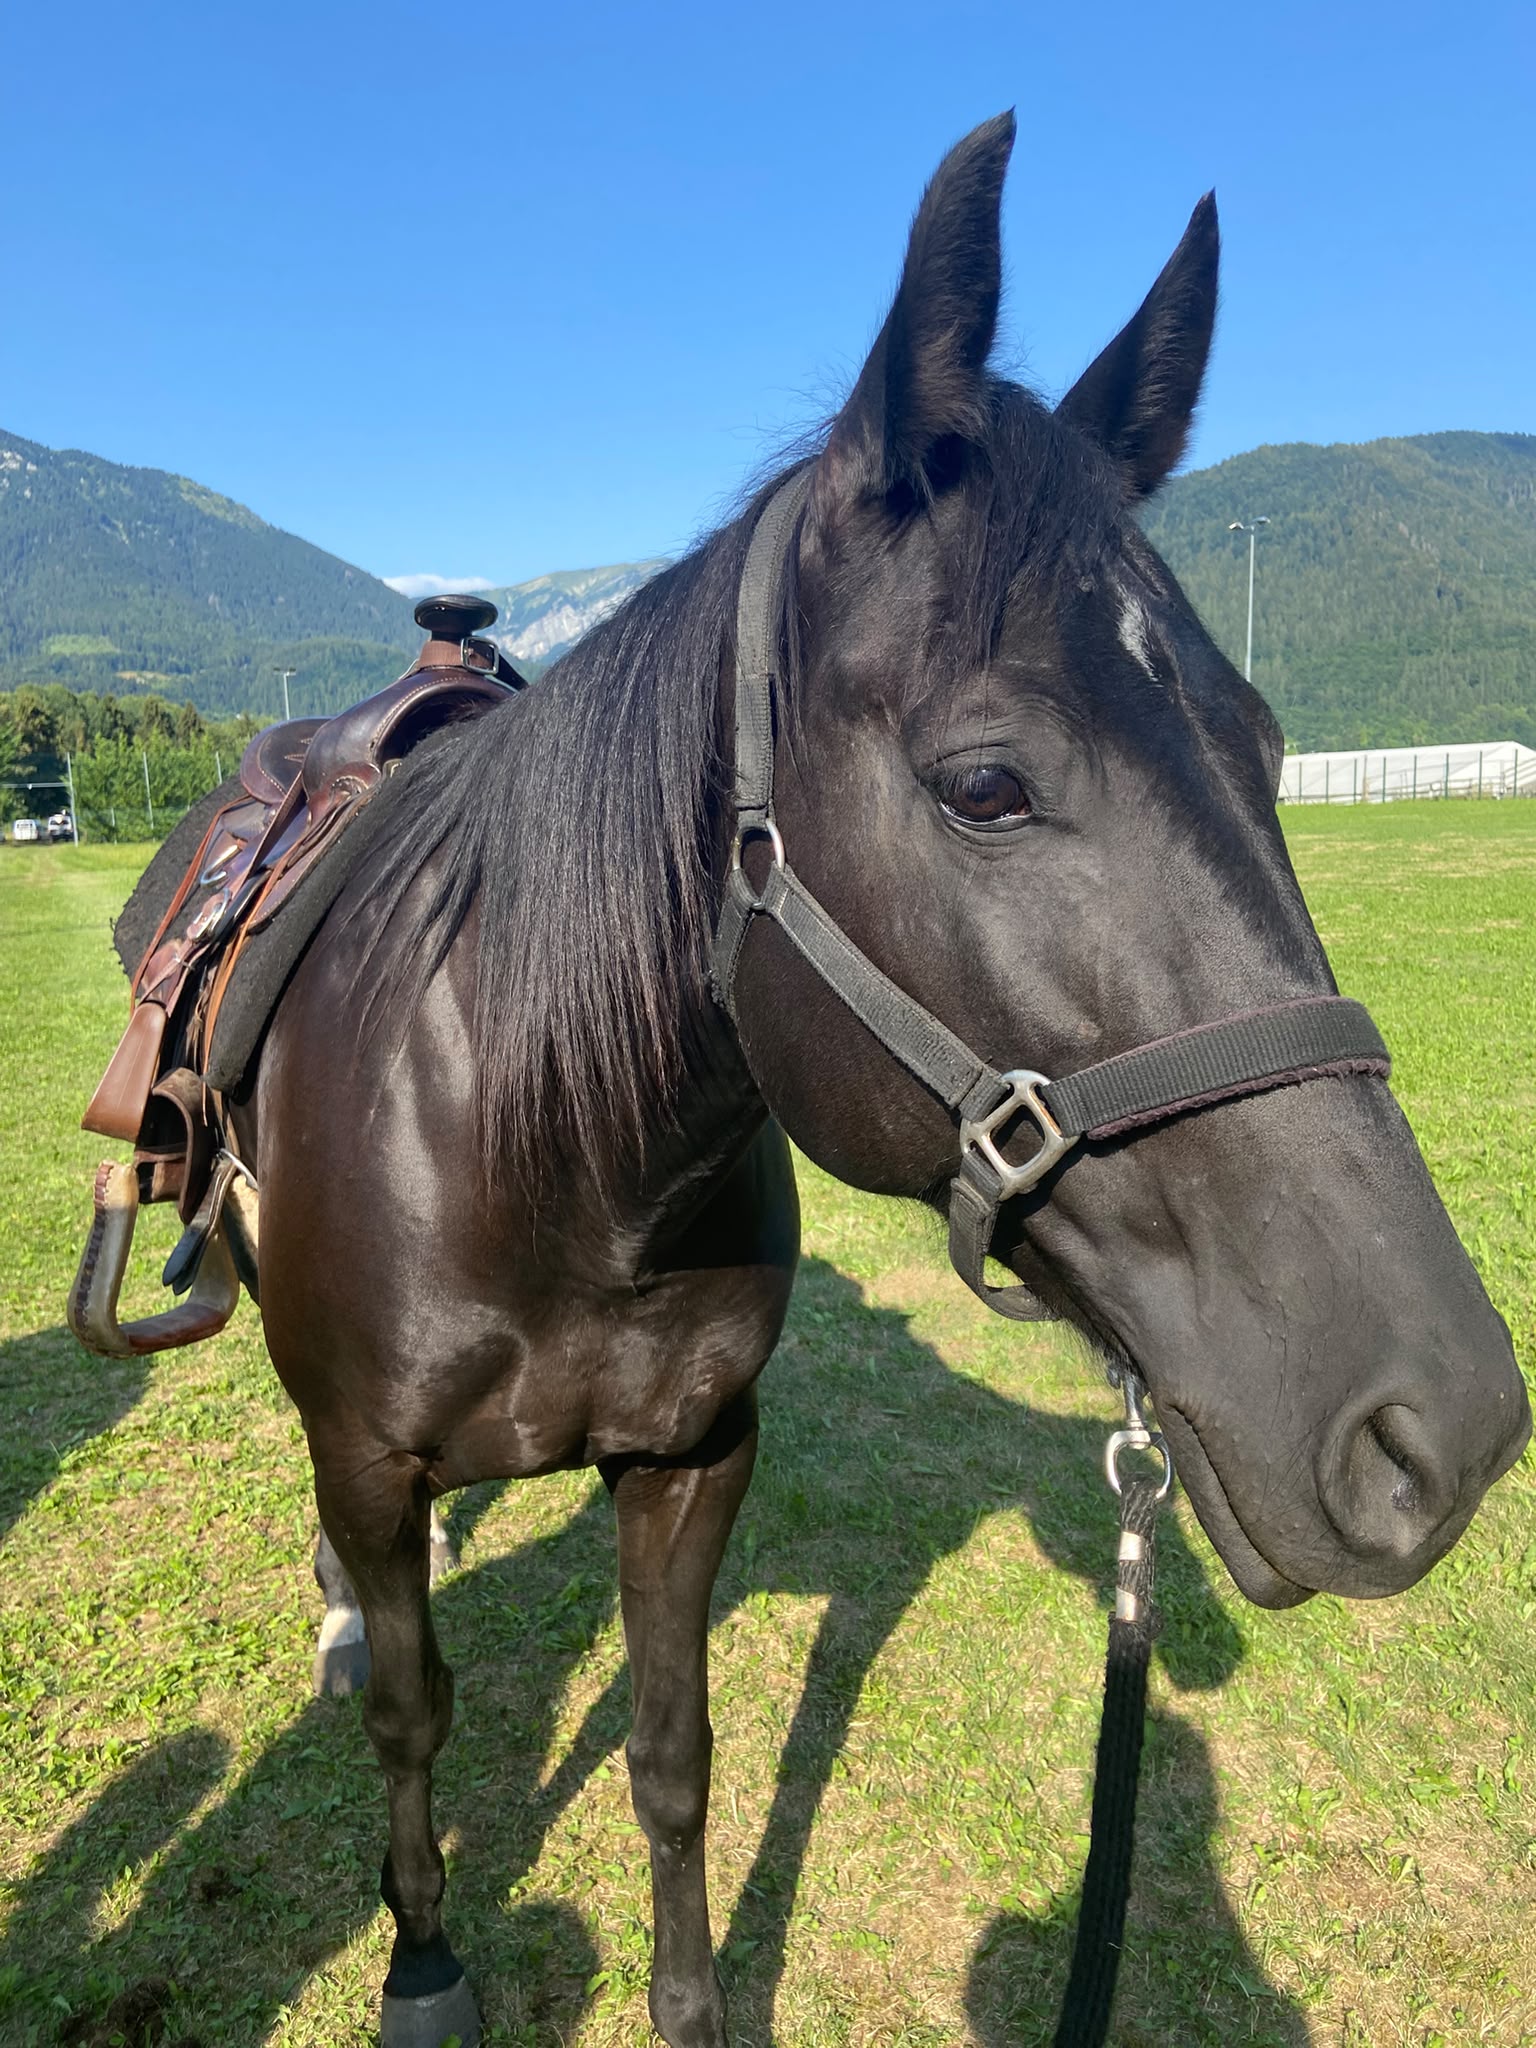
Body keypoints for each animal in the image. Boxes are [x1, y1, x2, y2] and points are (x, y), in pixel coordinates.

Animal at [109, 111, 1530, 2048]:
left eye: (1264, 745)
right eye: (988, 784)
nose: (1444, 1429)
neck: (543, 1155)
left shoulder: (693, 1457)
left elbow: (674, 1754)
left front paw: (693, 2002)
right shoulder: (378, 1458)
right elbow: (416, 1717)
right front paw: (424, 1963)